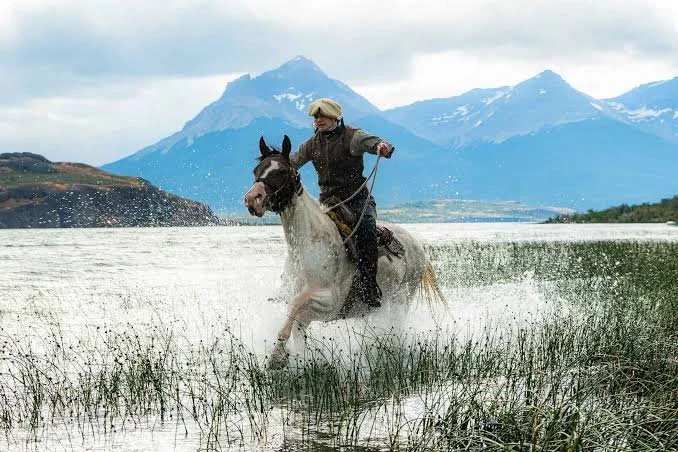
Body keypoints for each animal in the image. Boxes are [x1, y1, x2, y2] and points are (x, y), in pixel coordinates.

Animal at [243, 135, 445, 368]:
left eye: (283, 171)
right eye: (256, 170)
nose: (252, 199)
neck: (307, 244)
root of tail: (417, 245)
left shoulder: (329, 301)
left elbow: (295, 305)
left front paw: (277, 355)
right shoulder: (306, 310)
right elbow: (297, 327)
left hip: (401, 300)